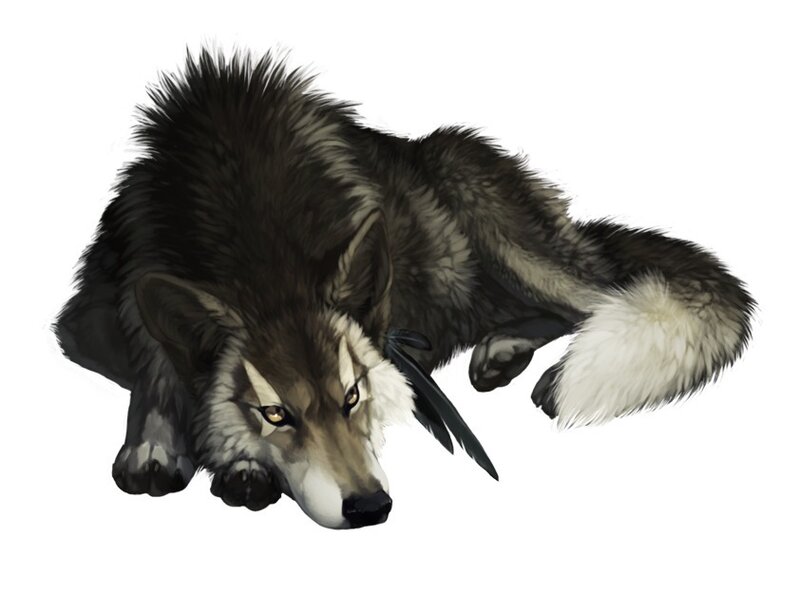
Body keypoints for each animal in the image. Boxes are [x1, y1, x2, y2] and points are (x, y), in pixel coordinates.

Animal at [55, 50, 755, 529]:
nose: (369, 506)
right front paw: (164, 445)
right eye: (275, 412)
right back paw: (502, 350)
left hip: (507, 235)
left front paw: (233, 463)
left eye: (353, 396)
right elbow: (152, 375)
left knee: (606, 301)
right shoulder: (103, 311)